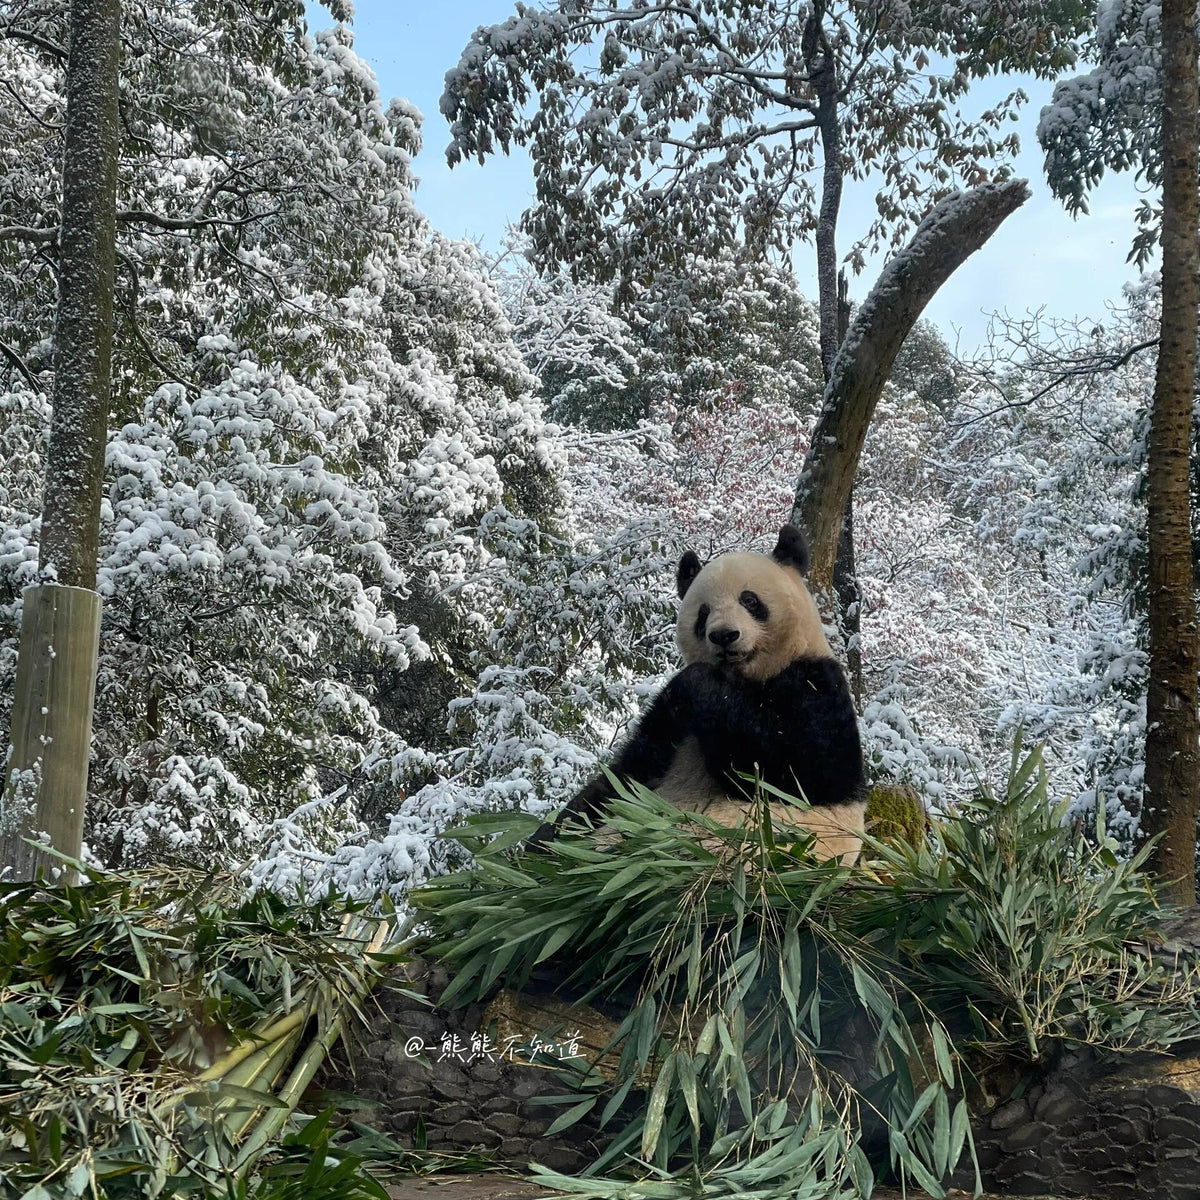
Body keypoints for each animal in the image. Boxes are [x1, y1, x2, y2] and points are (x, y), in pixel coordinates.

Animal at [526, 523, 867, 863]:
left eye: (750, 600)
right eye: (704, 612)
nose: (724, 636)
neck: (741, 679)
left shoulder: (817, 684)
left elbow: (795, 771)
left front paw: (697, 681)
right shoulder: (669, 729)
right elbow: (624, 777)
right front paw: (544, 835)